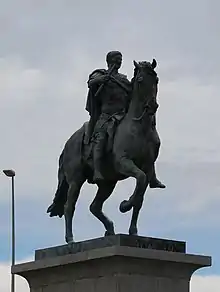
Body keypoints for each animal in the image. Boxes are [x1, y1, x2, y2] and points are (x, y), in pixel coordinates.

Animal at [47, 58, 162, 242]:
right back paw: (70, 239)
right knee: (69, 206)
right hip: (76, 180)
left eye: (156, 80)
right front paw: (125, 205)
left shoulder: (148, 167)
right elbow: (140, 179)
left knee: (94, 206)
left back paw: (110, 229)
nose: (152, 106)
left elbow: (140, 194)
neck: (139, 127)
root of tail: (68, 144)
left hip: (108, 182)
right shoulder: (124, 162)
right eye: (140, 80)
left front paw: (133, 230)